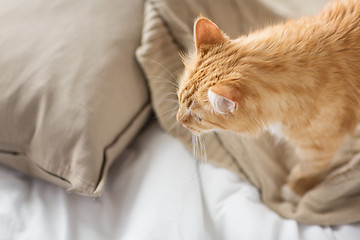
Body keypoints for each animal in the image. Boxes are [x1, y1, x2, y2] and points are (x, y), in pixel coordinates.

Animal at [176, 0, 360, 202]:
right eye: (179, 99)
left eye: (197, 117)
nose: (178, 120)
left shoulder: (320, 146)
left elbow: (309, 169)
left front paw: (294, 191)